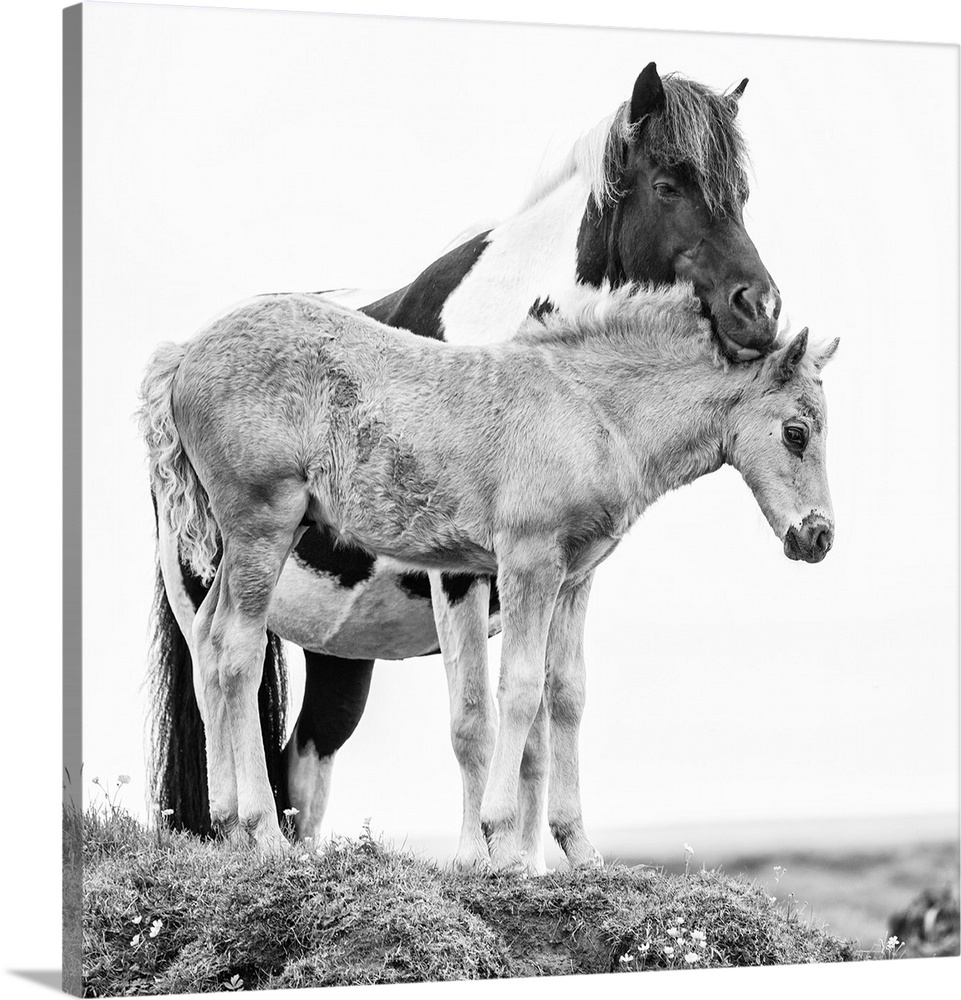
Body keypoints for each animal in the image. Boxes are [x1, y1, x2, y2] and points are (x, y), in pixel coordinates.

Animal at [150, 62, 780, 868]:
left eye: (741, 193)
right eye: (668, 184)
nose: (760, 309)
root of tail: (180, 362)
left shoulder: (550, 575)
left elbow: (543, 715)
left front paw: (531, 860)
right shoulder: (462, 573)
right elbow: (475, 716)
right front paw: (478, 857)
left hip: (335, 654)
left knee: (295, 746)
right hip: (213, 577)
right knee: (222, 669)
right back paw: (243, 830)